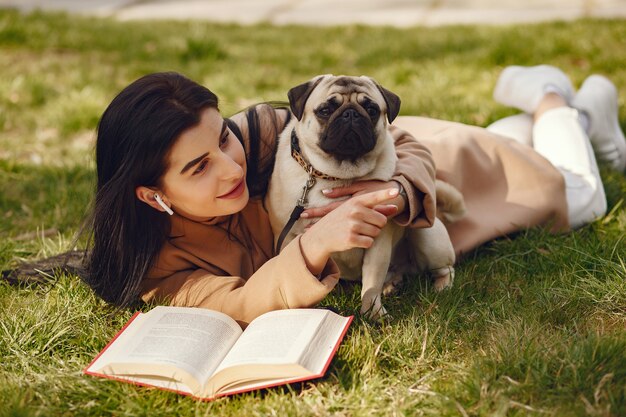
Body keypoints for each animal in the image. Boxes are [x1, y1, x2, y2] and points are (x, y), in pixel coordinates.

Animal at [264, 75, 464, 318]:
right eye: (325, 110)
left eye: (371, 109)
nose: (351, 114)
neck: (335, 176)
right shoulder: (288, 238)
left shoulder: (378, 240)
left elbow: (371, 282)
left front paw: (373, 314)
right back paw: (392, 284)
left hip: (429, 237)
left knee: (446, 268)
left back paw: (440, 287)